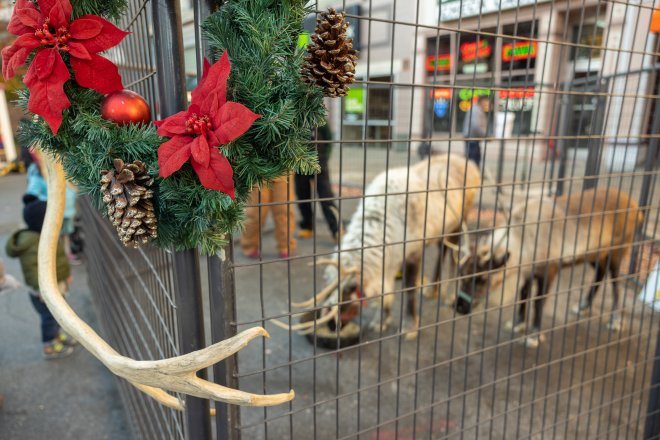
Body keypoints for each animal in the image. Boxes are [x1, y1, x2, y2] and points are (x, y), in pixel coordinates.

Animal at [272, 153, 481, 339]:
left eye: (351, 290)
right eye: (327, 283)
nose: (331, 326)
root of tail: (471, 164)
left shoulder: (412, 251)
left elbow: (409, 290)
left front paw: (409, 326)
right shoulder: (391, 259)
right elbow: (385, 292)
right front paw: (381, 321)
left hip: (460, 222)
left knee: (452, 253)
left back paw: (449, 294)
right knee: (442, 251)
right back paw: (432, 290)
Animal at [455, 187, 644, 348]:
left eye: (482, 279)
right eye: (462, 273)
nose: (460, 307)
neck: (524, 240)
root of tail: (636, 206)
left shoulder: (549, 271)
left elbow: (538, 303)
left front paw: (534, 336)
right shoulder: (528, 272)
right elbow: (523, 295)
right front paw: (518, 323)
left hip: (618, 252)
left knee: (616, 284)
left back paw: (615, 320)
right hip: (596, 255)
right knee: (600, 274)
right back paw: (583, 305)